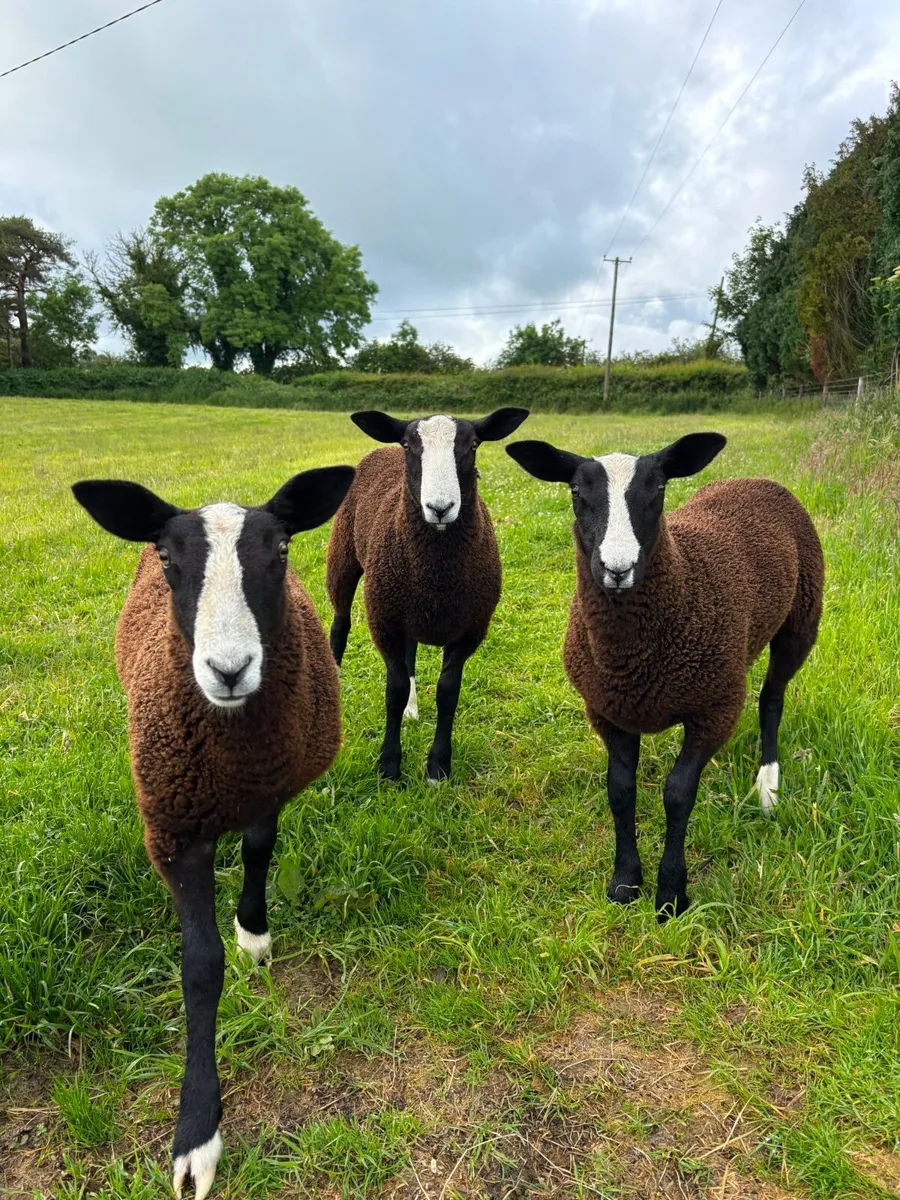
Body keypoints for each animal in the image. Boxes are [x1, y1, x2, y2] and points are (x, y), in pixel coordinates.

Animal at [71, 465, 354, 1200]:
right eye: (170, 559)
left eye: (280, 550)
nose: (228, 670)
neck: (230, 754)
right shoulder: (175, 834)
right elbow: (199, 968)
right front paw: (196, 1134)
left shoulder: (269, 790)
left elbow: (258, 852)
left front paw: (253, 933)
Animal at [326, 408, 529, 781]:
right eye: (409, 445)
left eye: (474, 444)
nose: (440, 507)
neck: (436, 576)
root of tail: (382, 450)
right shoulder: (384, 622)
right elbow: (393, 691)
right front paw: (389, 766)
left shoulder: (470, 630)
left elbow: (448, 693)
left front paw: (438, 767)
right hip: (344, 557)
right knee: (340, 624)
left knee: (410, 655)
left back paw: (412, 709)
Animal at [506, 432, 824, 919]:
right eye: (576, 491)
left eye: (658, 489)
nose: (617, 570)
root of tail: (758, 480)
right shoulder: (607, 711)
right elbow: (619, 790)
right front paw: (624, 883)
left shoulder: (716, 708)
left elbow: (677, 795)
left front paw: (671, 893)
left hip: (802, 617)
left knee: (772, 698)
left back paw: (768, 785)